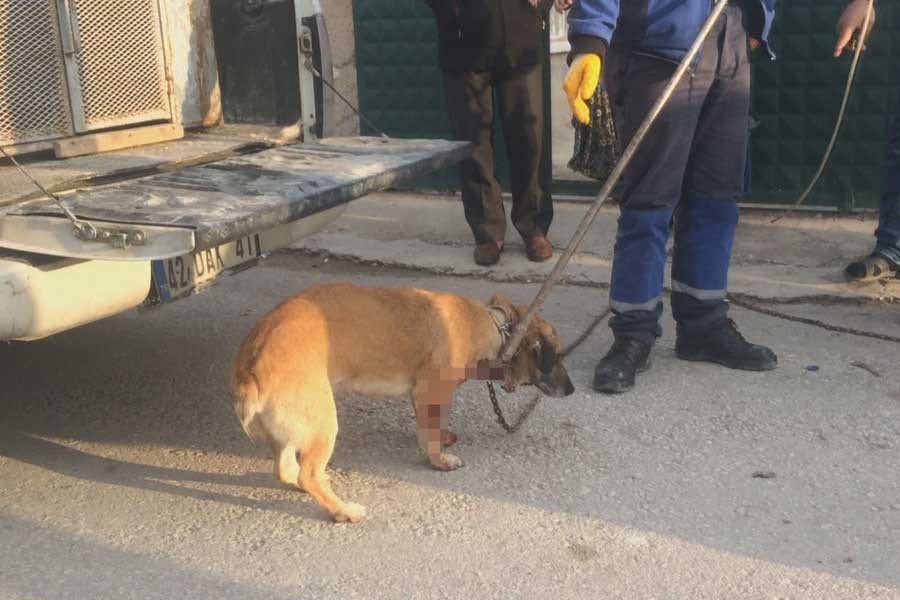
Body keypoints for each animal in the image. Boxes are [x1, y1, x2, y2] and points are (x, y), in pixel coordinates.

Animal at [229, 282, 572, 520]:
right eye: (556, 356)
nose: (571, 390)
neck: (497, 326)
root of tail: (251, 368)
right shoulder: (431, 391)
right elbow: (430, 434)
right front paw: (439, 459)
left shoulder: (427, 397)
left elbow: (435, 423)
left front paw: (444, 439)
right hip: (323, 424)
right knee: (305, 474)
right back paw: (343, 510)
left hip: (295, 431)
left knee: (286, 470)